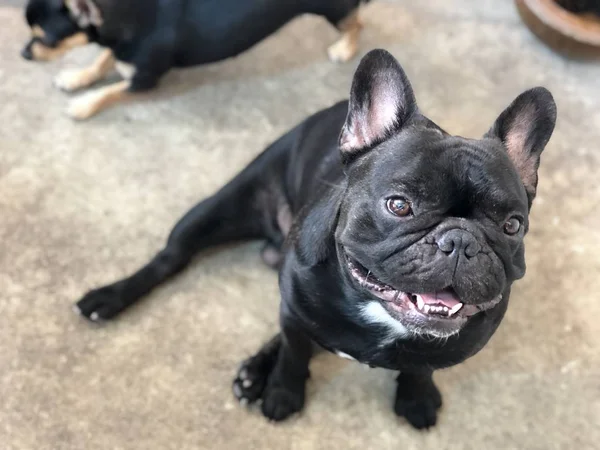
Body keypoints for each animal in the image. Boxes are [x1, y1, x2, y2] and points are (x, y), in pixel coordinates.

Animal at [21, 0, 370, 119]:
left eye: (47, 39)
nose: (23, 53)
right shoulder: (120, 50)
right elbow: (102, 61)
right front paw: (76, 77)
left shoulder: (144, 79)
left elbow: (109, 91)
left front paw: (84, 104)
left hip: (335, 11)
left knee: (358, 22)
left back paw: (345, 48)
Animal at [72, 51, 556, 428]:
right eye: (399, 205)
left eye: (512, 226)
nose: (459, 240)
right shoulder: (295, 309)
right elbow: (295, 353)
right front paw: (283, 393)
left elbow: (422, 367)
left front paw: (416, 397)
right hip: (220, 206)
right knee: (171, 258)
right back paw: (109, 298)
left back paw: (254, 371)